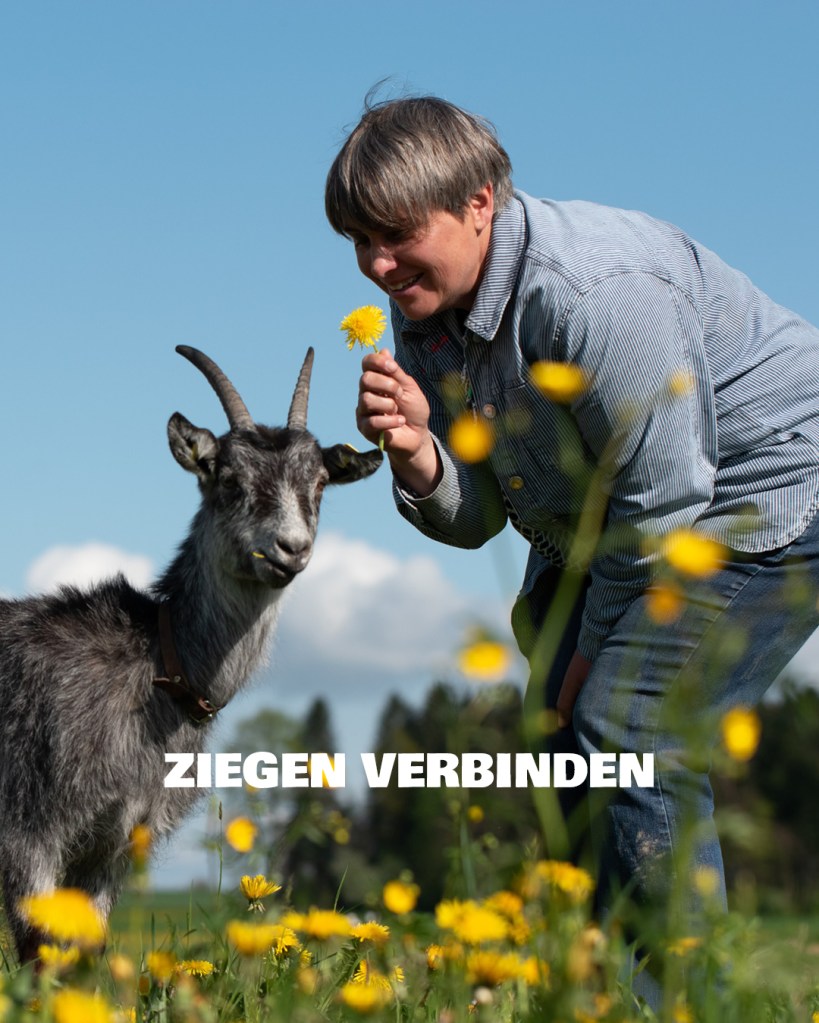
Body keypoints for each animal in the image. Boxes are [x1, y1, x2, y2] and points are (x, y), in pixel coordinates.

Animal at [0, 345, 382, 963]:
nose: (291, 549)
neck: (158, 665)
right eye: (227, 477)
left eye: (321, 482)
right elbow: (39, 954)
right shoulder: (29, 829)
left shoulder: (111, 846)